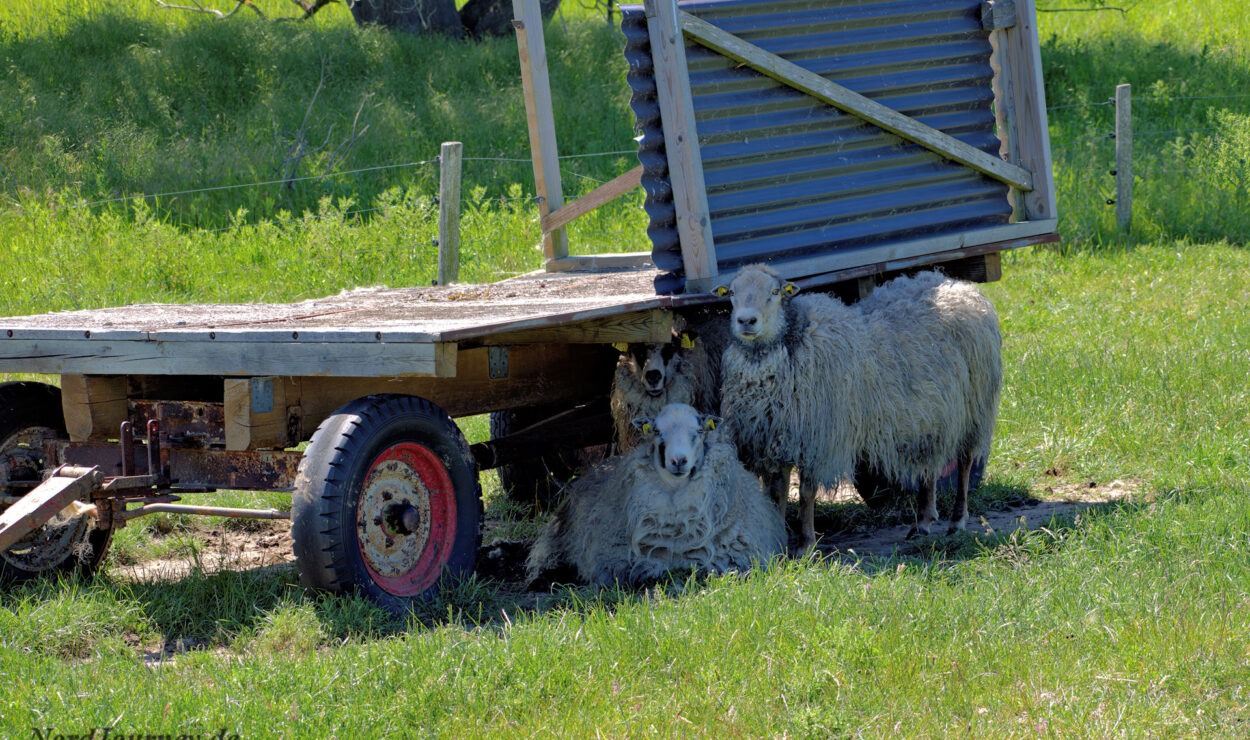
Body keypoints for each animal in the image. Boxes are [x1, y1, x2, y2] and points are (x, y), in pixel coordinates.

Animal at [720, 262, 1000, 547]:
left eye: (774, 292)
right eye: (731, 293)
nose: (746, 321)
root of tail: (962, 288)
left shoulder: (819, 441)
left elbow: (807, 493)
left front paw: (806, 542)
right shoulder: (774, 440)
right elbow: (775, 494)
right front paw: (777, 541)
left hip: (974, 409)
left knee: (964, 462)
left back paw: (957, 520)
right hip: (932, 414)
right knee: (929, 463)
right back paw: (922, 521)